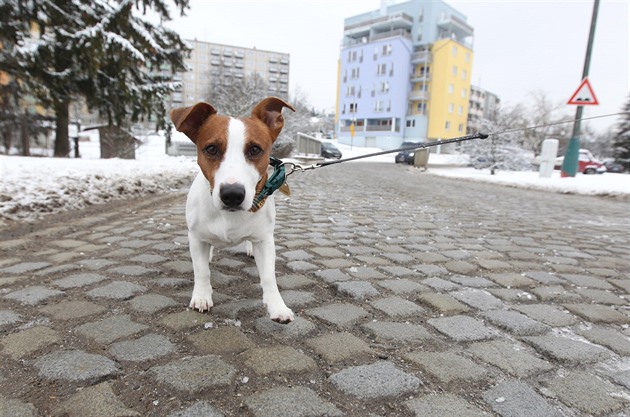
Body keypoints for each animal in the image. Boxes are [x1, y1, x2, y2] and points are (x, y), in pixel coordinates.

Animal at [170, 96, 298, 322]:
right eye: (211, 148)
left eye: (255, 150)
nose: (232, 194)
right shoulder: (195, 237)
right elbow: (201, 271)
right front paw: (201, 296)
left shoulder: (265, 241)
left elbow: (268, 276)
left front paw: (277, 306)